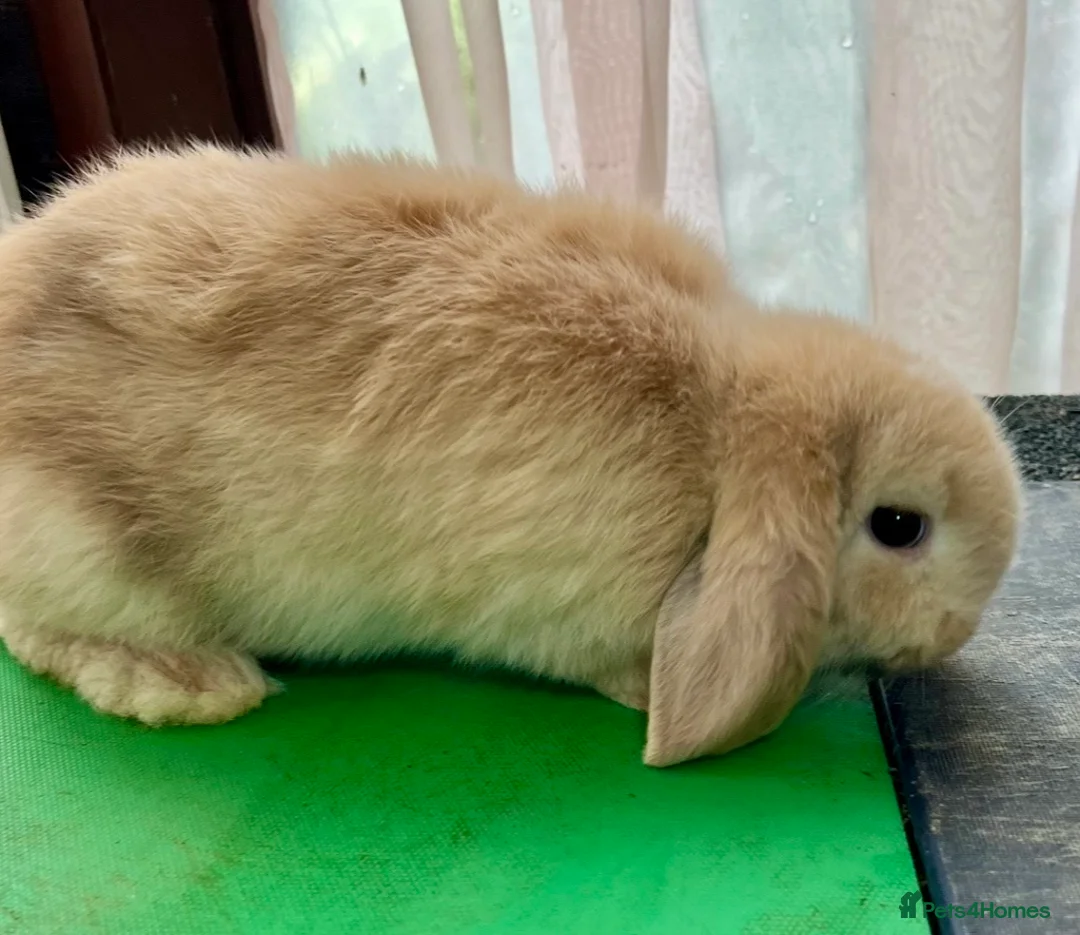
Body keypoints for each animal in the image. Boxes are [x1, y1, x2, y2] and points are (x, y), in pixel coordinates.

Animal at [0, 144, 1021, 767]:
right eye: (900, 525)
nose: (957, 634)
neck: (722, 431)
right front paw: (641, 694)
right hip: (90, 556)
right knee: (35, 631)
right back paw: (187, 683)